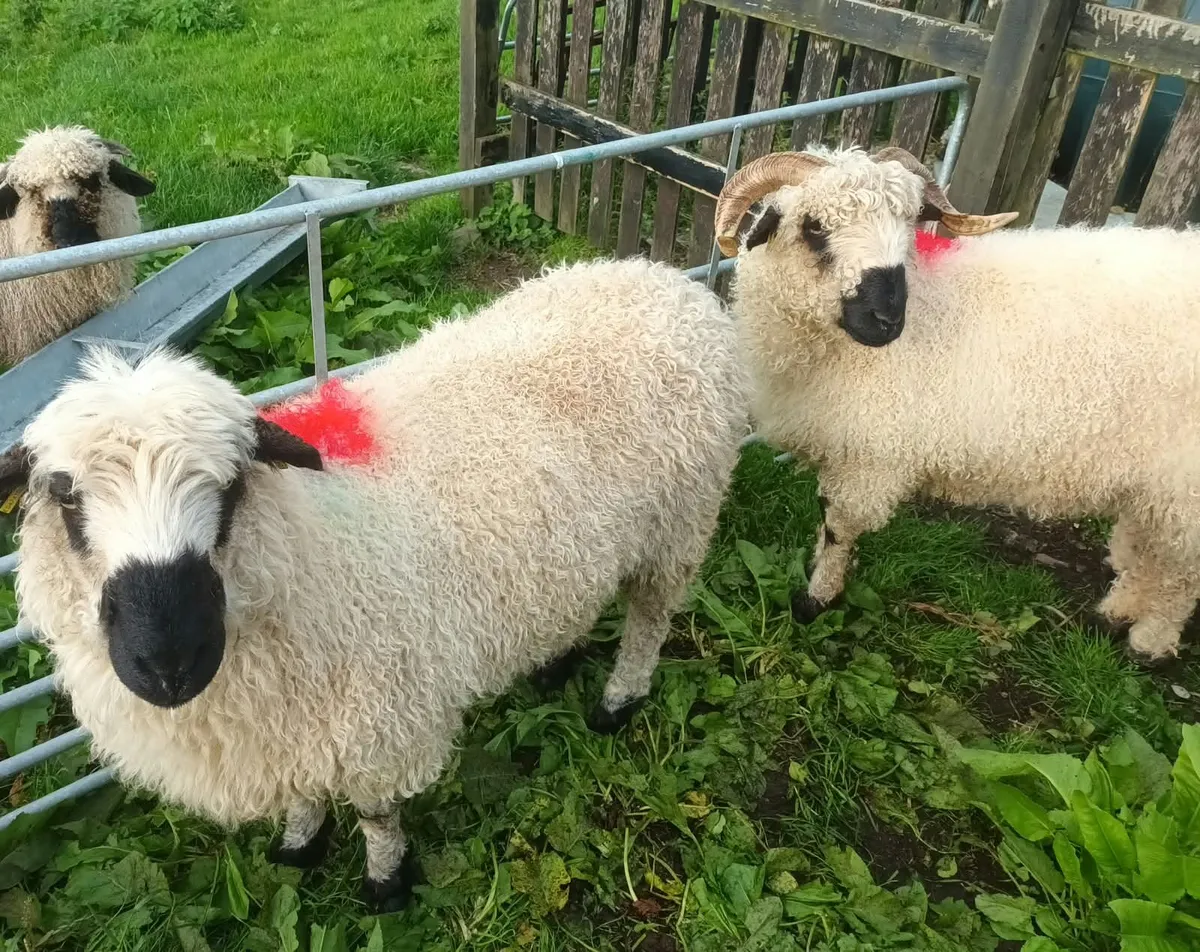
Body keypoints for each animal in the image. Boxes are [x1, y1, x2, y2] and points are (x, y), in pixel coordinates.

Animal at [0, 256, 748, 911]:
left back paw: (618, 701)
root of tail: (663, 282)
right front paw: (298, 847)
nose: (168, 662)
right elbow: (302, 797)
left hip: (680, 523)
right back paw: (554, 664)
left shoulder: (378, 718)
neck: (308, 549)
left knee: (649, 619)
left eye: (232, 486)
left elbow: (377, 814)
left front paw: (386, 884)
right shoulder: (287, 726)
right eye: (63, 496)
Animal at [712, 144, 1200, 664]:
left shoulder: (868, 460)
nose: (887, 320)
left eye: (910, 225)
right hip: (1156, 482)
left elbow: (839, 529)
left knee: (1182, 575)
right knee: (1149, 548)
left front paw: (815, 600)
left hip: (1184, 484)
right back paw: (1117, 611)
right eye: (814, 227)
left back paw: (1151, 640)